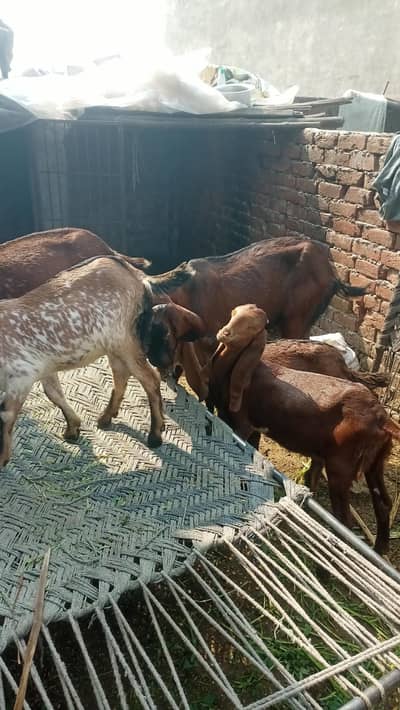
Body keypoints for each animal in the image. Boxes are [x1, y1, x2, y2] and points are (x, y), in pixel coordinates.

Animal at [0, 256, 164, 467]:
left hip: (125, 340)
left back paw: (155, 435)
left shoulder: (22, 376)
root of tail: (135, 274)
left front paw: (2, 458)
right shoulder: (44, 368)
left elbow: (6, 416)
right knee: (121, 376)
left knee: (150, 379)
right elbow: (54, 394)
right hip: (114, 347)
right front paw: (73, 429)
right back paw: (106, 418)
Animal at [206, 304, 400, 555]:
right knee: (383, 503)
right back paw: (380, 547)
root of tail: (381, 417)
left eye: (252, 327)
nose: (224, 333)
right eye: (233, 314)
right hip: (375, 461)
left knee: (344, 521)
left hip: (341, 466)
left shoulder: (241, 423)